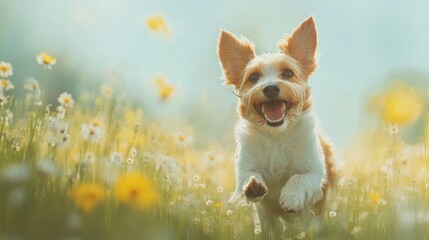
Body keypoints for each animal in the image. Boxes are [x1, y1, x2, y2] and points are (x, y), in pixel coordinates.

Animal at [217, 16, 334, 231]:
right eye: (254, 77)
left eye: (287, 73)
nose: (270, 88)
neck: (277, 136)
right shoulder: (245, 166)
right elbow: (248, 178)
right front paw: (253, 186)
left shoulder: (315, 174)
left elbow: (299, 177)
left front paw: (291, 197)